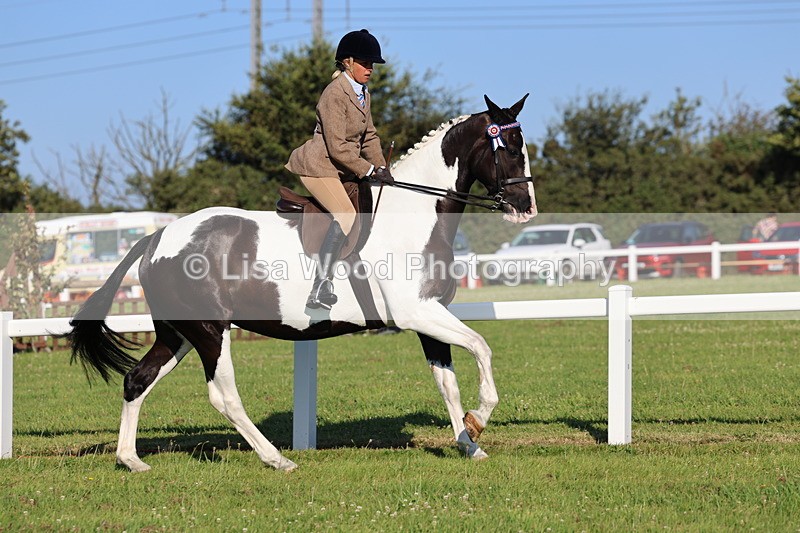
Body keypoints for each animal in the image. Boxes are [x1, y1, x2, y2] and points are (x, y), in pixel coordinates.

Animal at [65, 94, 537, 472]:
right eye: (511, 149)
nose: (525, 207)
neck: (414, 215)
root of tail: (157, 238)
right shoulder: (417, 313)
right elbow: (481, 347)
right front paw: (479, 420)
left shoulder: (429, 315)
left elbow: (448, 384)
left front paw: (468, 443)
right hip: (210, 331)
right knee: (224, 396)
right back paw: (277, 459)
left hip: (178, 333)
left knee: (137, 379)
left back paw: (131, 460)